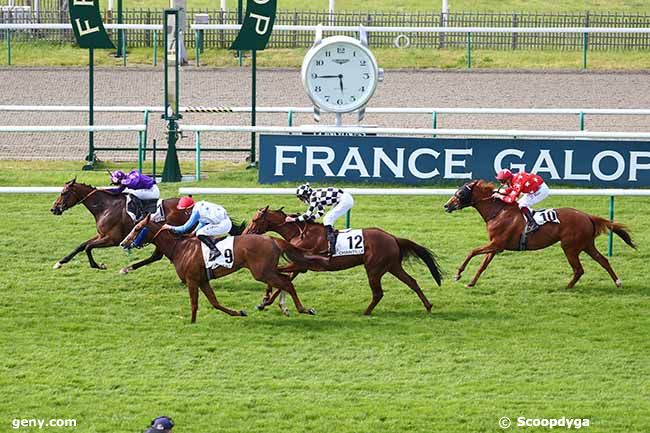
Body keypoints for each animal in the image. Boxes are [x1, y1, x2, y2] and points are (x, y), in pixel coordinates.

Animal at [50, 177, 190, 268]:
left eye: (64, 193)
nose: (53, 209)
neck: (105, 207)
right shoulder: (101, 235)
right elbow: (81, 245)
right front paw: (60, 262)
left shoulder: (113, 239)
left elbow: (88, 247)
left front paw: (98, 265)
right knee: (157, 256)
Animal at [119, 213, 326, 320]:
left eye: (137, 229)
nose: (123, 243)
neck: (180, 248)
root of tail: (272, 239)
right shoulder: (202, 280)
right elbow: (214, 302)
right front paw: (239, 312)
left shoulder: (192, 280)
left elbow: (194, 304)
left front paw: (191, 323)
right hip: (268, 270)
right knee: (286, 280)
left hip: (262, 272)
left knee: (287, 283)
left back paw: (303, 309)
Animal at [243, 206, 440, 314]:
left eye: (255, 220)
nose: (245, 234)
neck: (299, 233)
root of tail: (393, 238)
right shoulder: (299, 266)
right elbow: (283, 280)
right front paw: (265, 302)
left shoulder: (301, 264)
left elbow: (280, 276)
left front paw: (267, 300)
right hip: (392, 266)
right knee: (412, 282)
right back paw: (428, 306)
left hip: (374, 269)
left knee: (378, 293)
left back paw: (365, 313)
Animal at [440, 179, 632, 286]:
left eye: (460, 193)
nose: (447, 205)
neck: (499, 212)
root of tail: (587, 216)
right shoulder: (496, 246)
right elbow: (483, 265)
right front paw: (471, 283)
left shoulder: (497, 244)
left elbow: (472, 252)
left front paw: (458, 274)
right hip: (586, 244)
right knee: (603, 260)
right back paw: (617, 282)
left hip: (570, 247)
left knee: (579, 270)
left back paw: (567, 287)